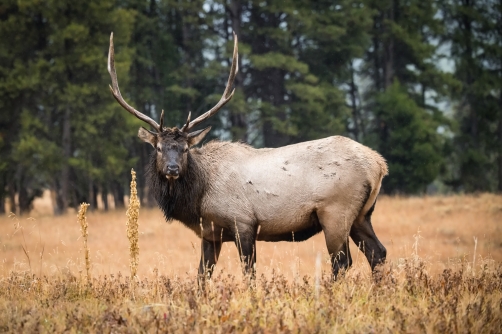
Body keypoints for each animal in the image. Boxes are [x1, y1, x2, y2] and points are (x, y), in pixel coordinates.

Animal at [107, 33, 388, 280]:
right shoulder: (210, 234)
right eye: (158, 147)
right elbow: (201, 277)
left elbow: (249, 274)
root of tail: (378, 164)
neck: (198, 198)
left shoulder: (243, 222)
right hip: (362, 215)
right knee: (378, 253)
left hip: (335, 212)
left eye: (185, 148)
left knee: (343, 262)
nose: (173, 169)